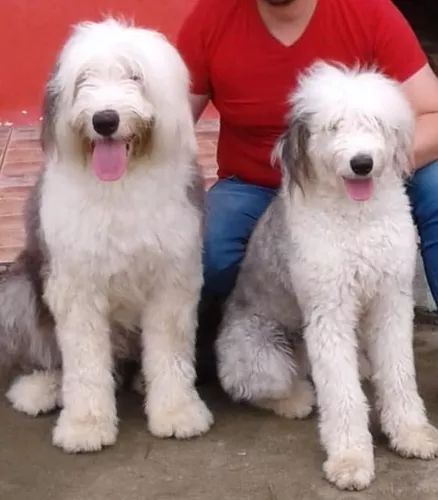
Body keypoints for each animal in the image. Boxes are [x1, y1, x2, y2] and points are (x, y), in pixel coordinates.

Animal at [0, 18, 214, 450]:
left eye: (135, 76)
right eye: (84, 79)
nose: (105, 120)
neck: (120, 183)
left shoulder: (173, 278)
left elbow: (169, 350)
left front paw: (177, 413)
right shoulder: (76, 285)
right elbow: (84, 363)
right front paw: (85, 426)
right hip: (16, 291)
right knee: (45, 356)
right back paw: (40, 389)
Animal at [217, 61, 438, 488]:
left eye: (374, 123)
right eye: (334, 126)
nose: (361, 163)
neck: (357, 220)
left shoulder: (391, 300)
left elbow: (399, 373)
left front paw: (411, 433)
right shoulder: (328, 308)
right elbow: (342, 393)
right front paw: (350, 459)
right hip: (259, 352)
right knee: (253, 386)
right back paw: (297, 400)